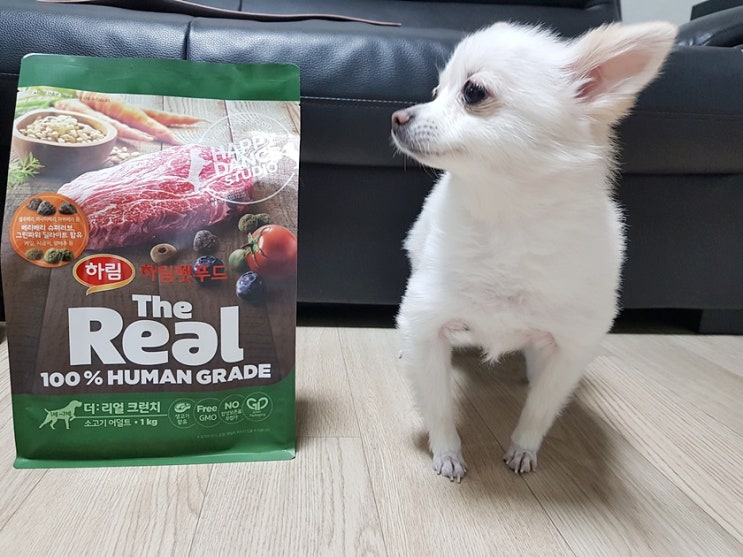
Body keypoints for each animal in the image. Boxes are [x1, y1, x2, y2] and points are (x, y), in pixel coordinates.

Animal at [391, 21, 676, 480]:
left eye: (472, 92)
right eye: (435, 91)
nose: (397, 116)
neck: (506, 221)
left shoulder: (573, 347)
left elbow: (541, 408)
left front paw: (524, 448)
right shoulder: (427, 323)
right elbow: (437, 404)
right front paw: (447, 452)